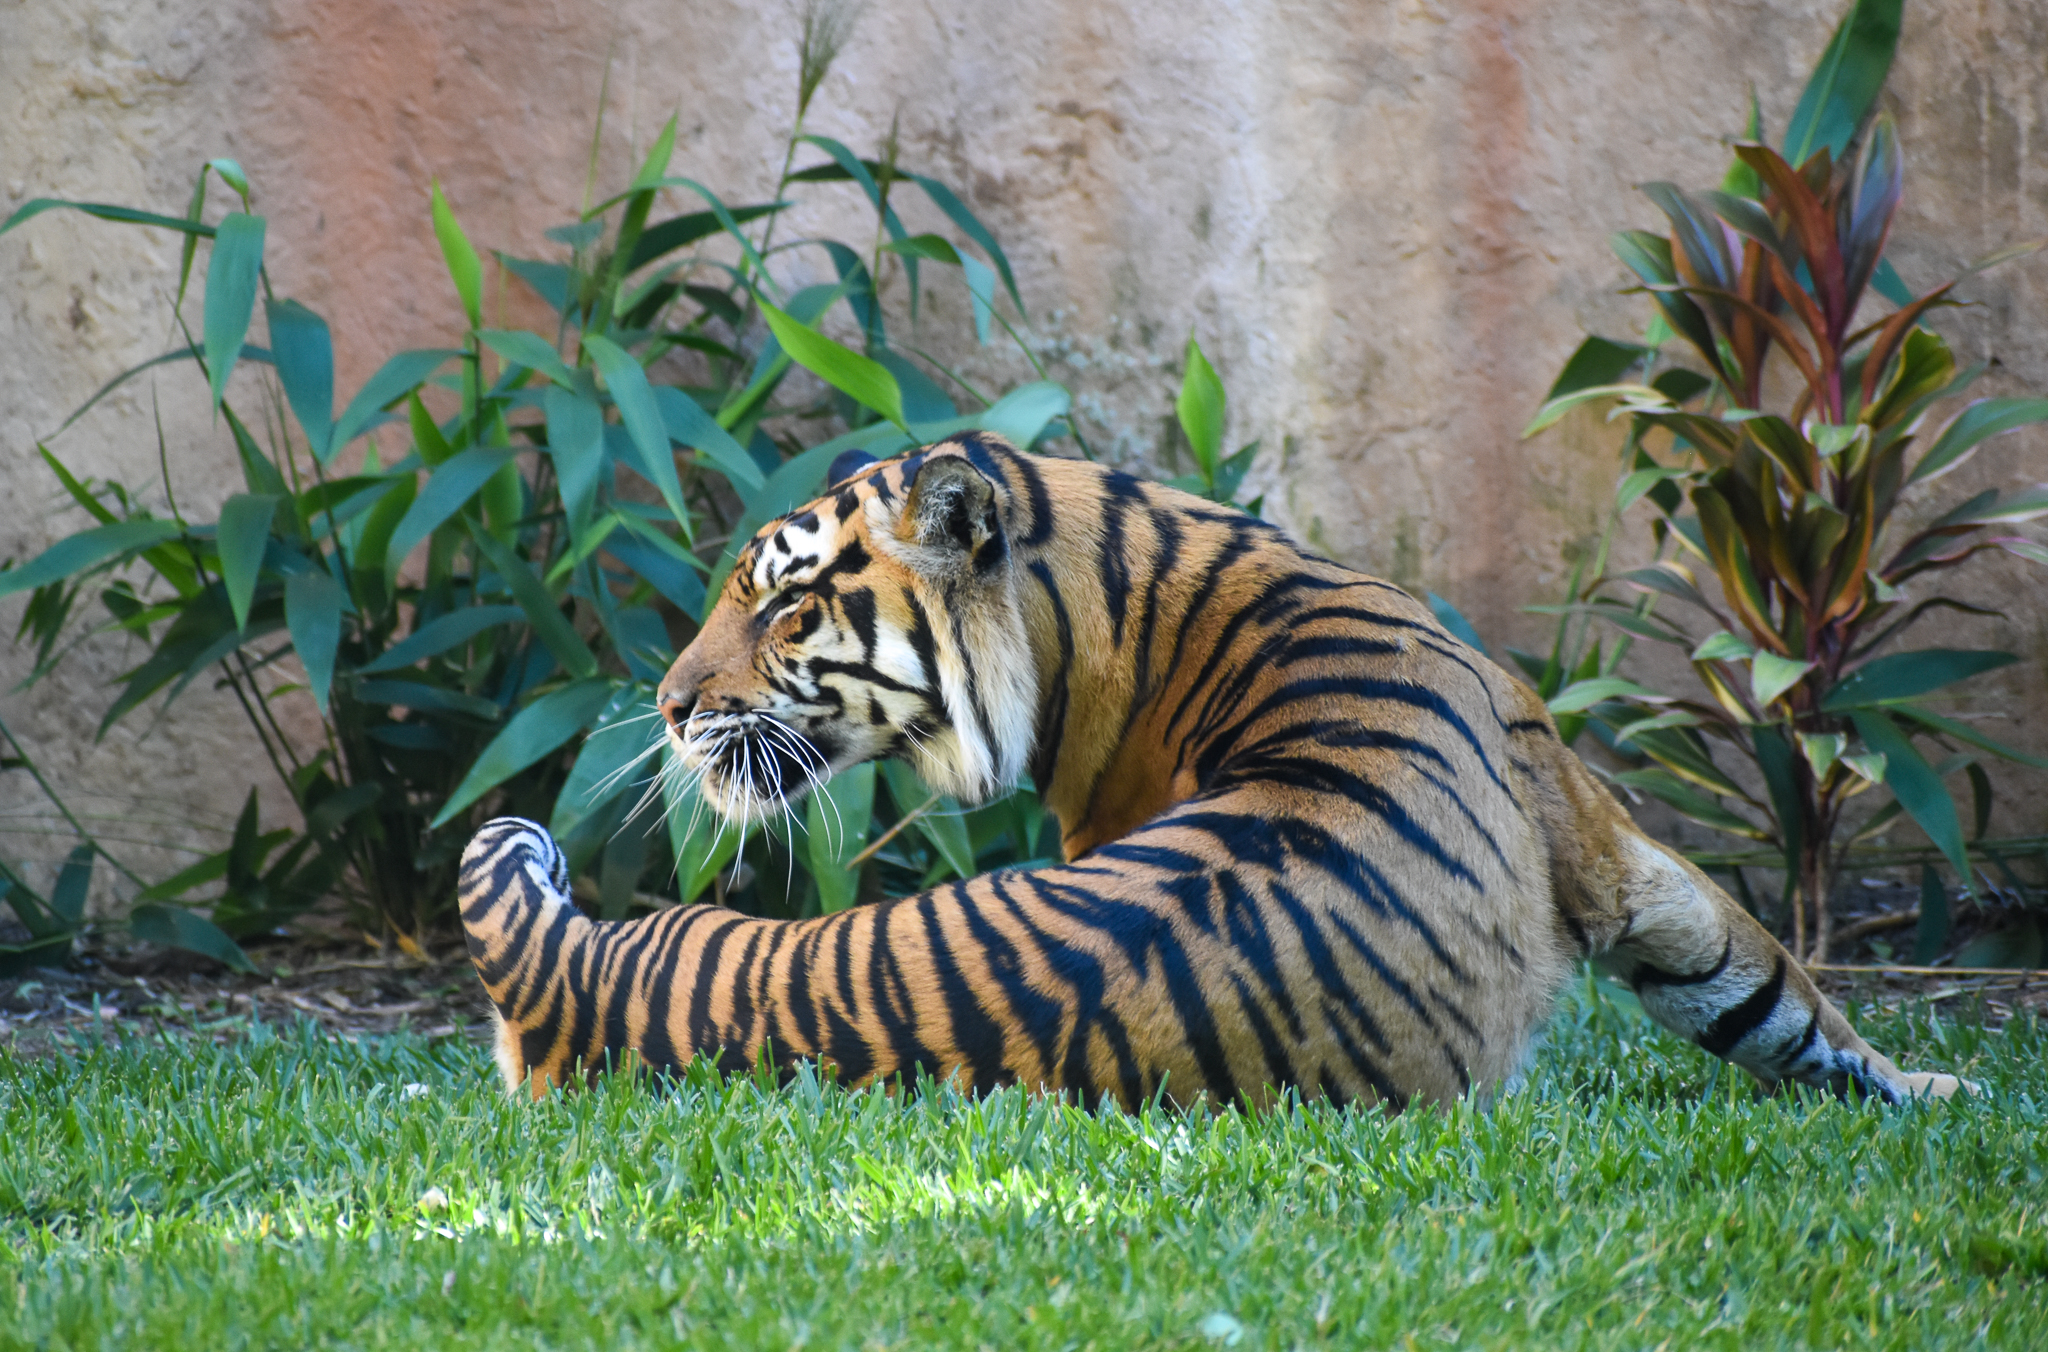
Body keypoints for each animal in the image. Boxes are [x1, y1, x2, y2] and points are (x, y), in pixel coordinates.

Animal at [458, 432, 1965, 1109]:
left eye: (780, 606)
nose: (663, 709)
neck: (1095, 608)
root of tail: (573, 979)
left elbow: (1753, 980)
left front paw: (1925, 1091)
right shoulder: (1586, 824)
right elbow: (1745, 967)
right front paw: (1926, 1088)